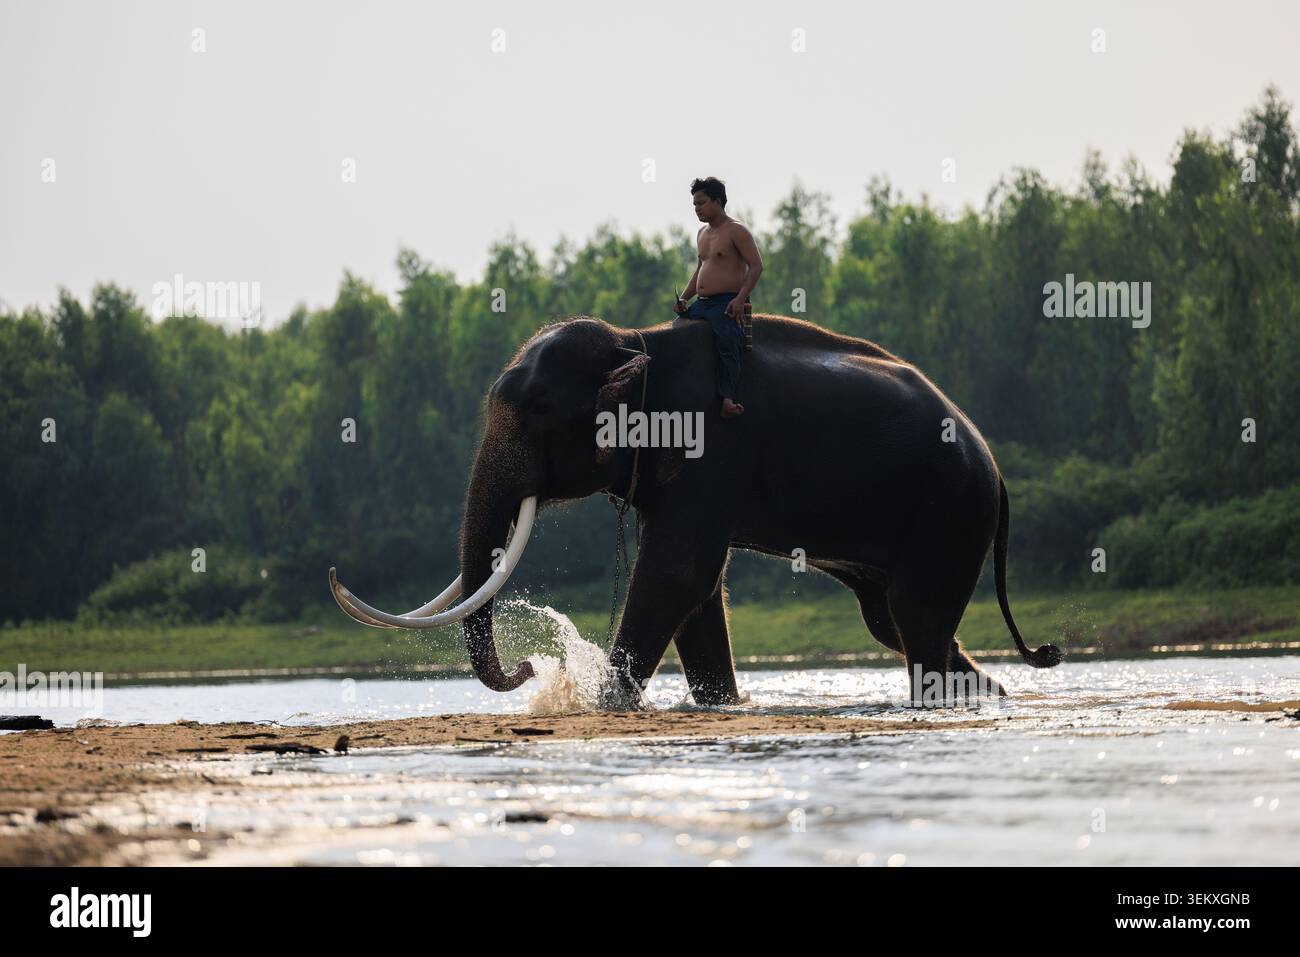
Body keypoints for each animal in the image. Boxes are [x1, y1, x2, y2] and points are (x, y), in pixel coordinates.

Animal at [329, 313, 1062, 707]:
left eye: (537, 411)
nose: (531, 666)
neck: (635, 340)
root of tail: (997, 471)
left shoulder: (708, 448)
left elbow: (676, 572)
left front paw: (605, 707)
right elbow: (698, 590)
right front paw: (726, 705)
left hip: (948, 513)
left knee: (915, 622)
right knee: (898, 623)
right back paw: (988, 694)